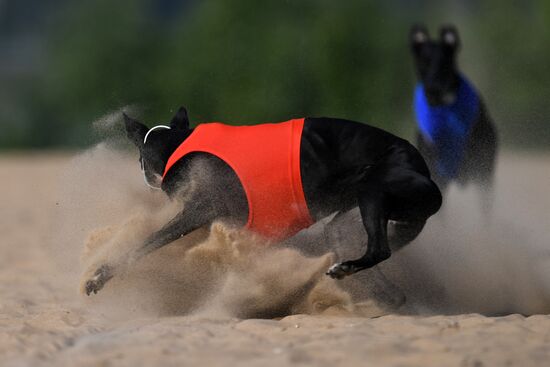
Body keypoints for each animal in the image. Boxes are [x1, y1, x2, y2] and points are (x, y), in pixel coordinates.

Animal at [85, 108, 444, 296]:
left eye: (139, 156)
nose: (146, 177)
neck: (179, 146)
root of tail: (423, 168)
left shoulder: (200, 210)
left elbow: (145, 243)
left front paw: (100, 275)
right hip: (347, 222)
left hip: (372, 189)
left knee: (380, 249)